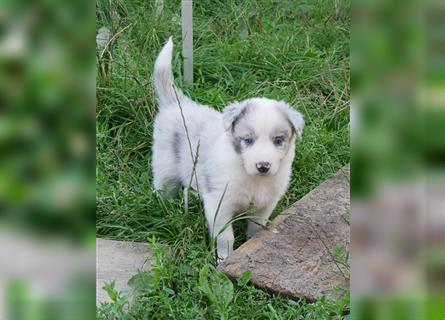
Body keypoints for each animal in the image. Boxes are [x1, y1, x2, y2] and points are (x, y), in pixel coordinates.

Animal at [151, 37, 304, 262]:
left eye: (278, 140)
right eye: (247, 140)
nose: (263, 166)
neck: (253, 178)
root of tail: (176, 104)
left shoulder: (265, 204)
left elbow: (256, 229)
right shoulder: (219, 204)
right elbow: (226, 238)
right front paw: (224, 259)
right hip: (165, 166)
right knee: (164, 187)